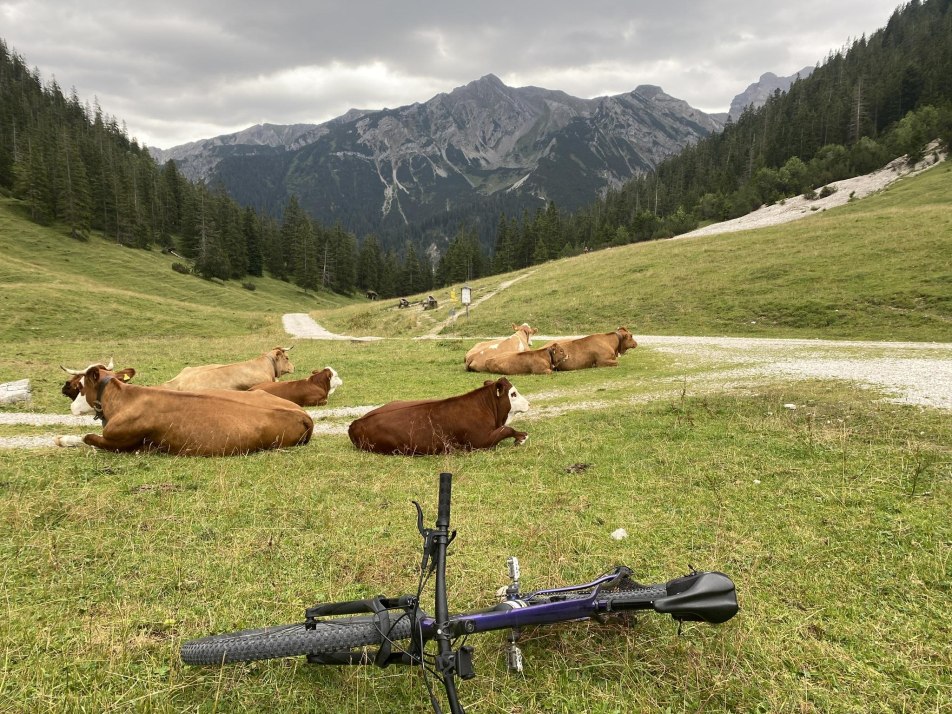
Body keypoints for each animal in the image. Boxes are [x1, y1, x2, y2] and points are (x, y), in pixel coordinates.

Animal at [54, 364, 314, 454]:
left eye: (80, 384)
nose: (71, 406)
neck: (124, 398)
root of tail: (303, 415)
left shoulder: (119, 441)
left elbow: (87, 438)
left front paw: (61, 439)